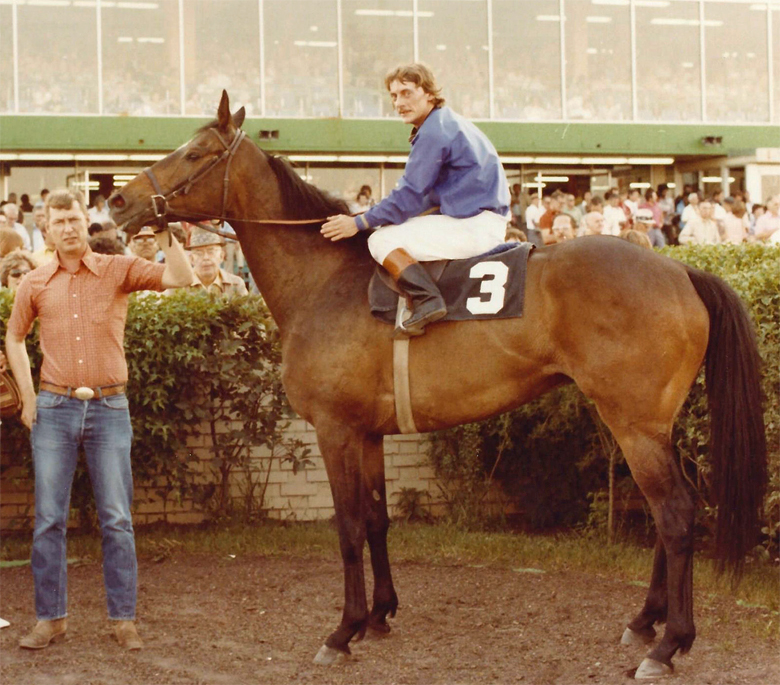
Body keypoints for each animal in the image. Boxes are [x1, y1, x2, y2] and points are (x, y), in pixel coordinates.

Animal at [109, 92, 766, 679]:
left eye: (195, 152)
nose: (116, 199)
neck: (325, 281)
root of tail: (680, 268)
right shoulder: (369, 434)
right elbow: (377, 520)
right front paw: (379, 616)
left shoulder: (335, 430)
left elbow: (349, 527)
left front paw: (343, 631)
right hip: (649, 424)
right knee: (665, 513)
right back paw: (645, 623)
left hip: (633, 423)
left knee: (675, 513)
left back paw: (669, 644)